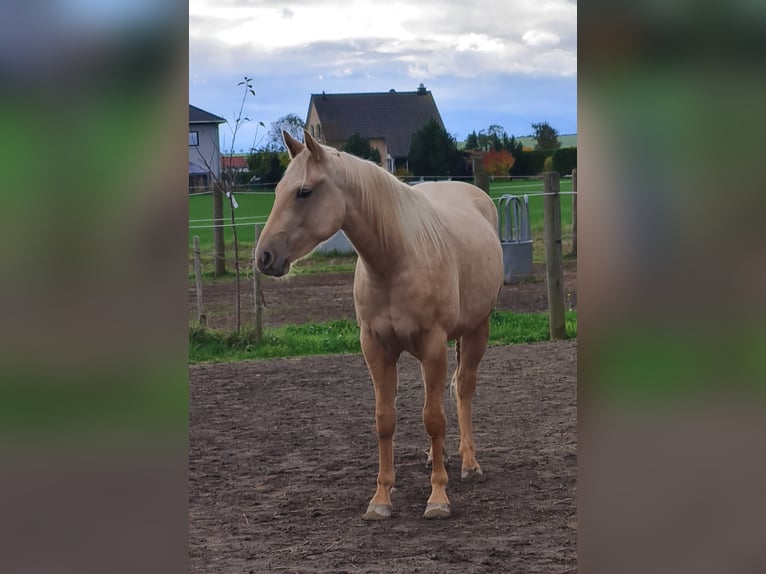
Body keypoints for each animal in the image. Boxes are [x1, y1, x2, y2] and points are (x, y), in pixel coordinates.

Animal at [255, 130, 504, 520]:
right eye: (279, 189)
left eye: (304, 192)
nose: (264, 256)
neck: (396, 259)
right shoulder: (375, 346)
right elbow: (385, 419)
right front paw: (381, 498)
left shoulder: (433, 343)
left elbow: (434, 418)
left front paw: (438, 496)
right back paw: (436, 456)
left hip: (477, 330)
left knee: (463, 389)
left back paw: (468, 463)